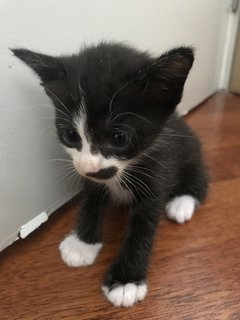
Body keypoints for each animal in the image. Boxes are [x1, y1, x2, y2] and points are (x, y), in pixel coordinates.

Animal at [12, 42, 208, 308]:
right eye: (70, 135)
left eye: (119, 138)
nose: (90, 167)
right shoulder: (91, 176)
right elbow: (90, 200)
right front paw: (83, 243)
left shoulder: (159, 167)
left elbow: (144, 225)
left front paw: (127, 280)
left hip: (190, 149)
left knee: (198, 177)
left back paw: (181, 203)